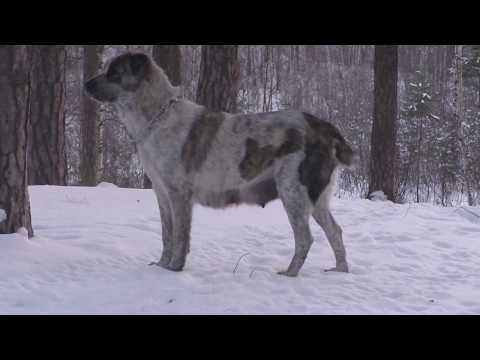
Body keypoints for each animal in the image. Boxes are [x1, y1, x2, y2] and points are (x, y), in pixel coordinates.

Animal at [85, 51, 356, 276]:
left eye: (114, 73)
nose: (85, 84)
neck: (158, 117)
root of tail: (325, 127)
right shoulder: (161, 192)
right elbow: (166, 234)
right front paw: (162, 265)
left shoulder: (179, 194)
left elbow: (180, 236)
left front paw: (174, 269)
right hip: (317, 198)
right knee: (335, 231)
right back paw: (339, 270)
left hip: (294, 192)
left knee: (305, 238)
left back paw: (290, 273)